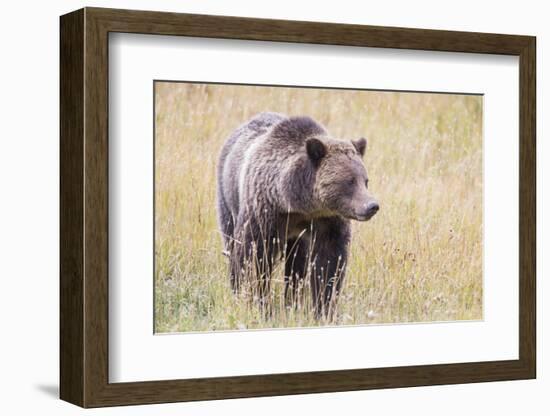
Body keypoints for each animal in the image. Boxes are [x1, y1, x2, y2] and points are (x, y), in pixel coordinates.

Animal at [216, 112, 380, 316]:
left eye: (365, 180)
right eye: (349, 181)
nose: (372, 206)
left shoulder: (326, 221)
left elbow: (328, 264)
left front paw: (323, 308)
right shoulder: (264, 212)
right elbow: (252, 256)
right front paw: (257, 303)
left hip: (297, 239)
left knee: (296, 265)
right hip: (228, 198)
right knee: (232, 242)